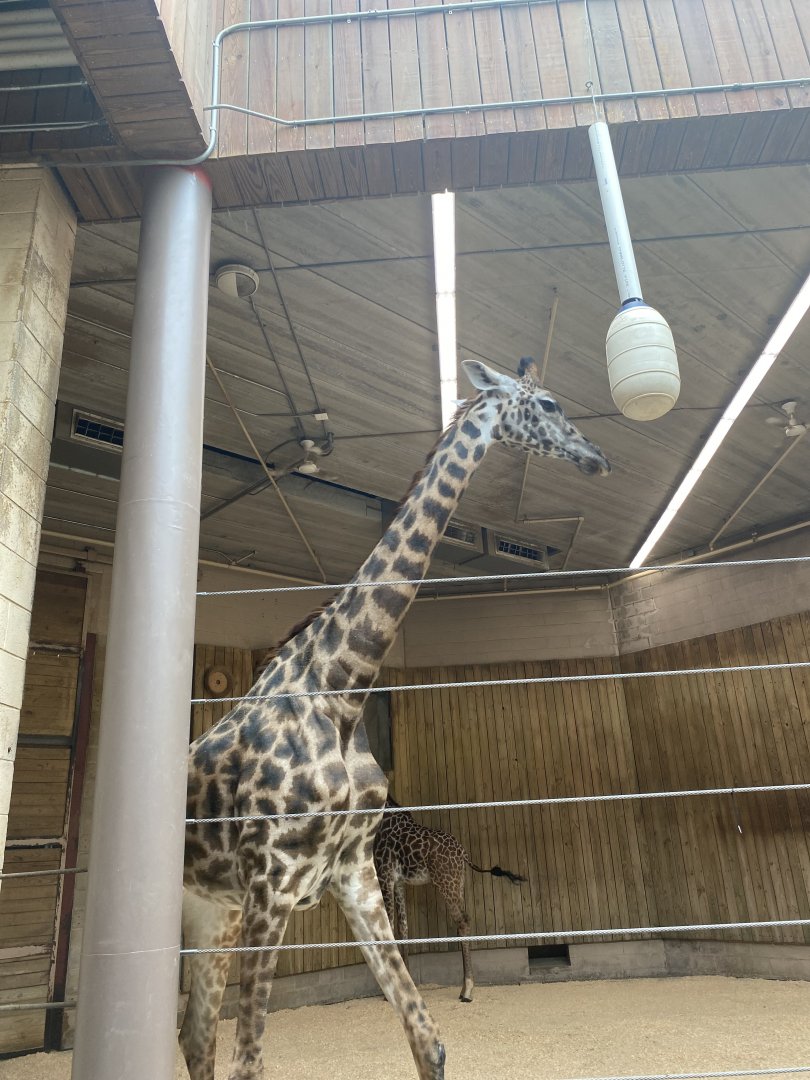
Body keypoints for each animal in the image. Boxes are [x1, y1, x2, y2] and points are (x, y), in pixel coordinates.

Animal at [374, 798, 526, 1002]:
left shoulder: (385, 876)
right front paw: (407, 982)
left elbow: (388, 926)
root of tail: (463, 854)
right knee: (462, 922)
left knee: (463, 921)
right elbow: (403, 927)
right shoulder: (398, 882)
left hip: (446, 883)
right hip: (458, 883)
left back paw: (467, 990)